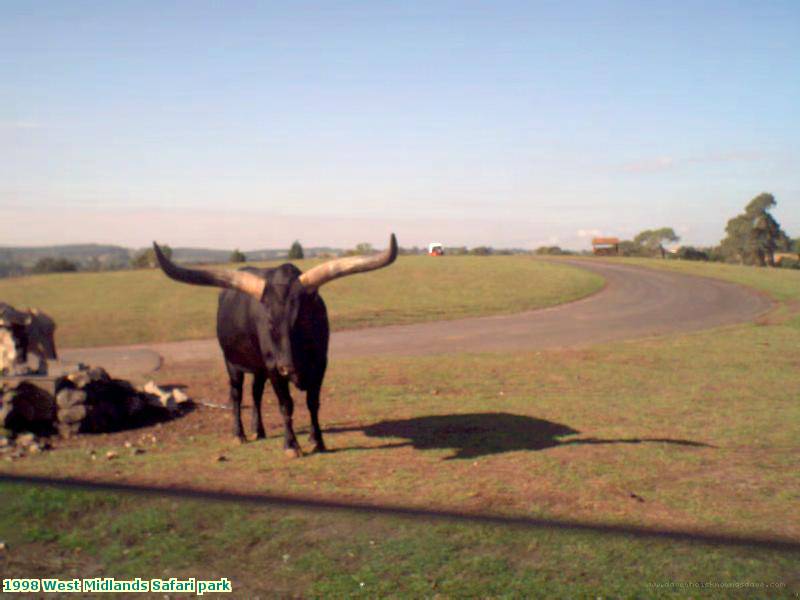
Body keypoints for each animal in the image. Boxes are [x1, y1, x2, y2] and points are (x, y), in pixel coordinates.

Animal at [153, 237, 396, 458]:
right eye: (269, 322)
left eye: (302, 319)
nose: (286, 368)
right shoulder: (273, 369)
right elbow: (286, 405)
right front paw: (291, 445)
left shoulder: (320, 365)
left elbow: (312, 402)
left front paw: (317, 440)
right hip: (233, 363)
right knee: (237, 395)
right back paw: (239, 434)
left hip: (259, 367)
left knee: (256, 394)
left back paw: (258, 429)